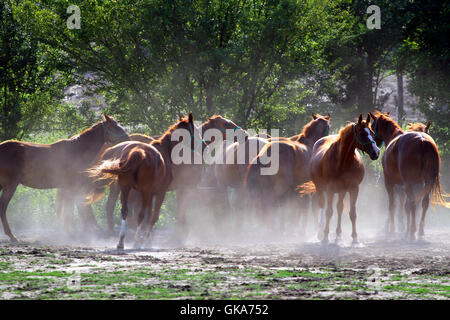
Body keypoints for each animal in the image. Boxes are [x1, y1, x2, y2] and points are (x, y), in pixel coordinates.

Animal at [0, 114, 128, 241]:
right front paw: (70, 233)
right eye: (115, 126)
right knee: (3, 208)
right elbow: (69, 211)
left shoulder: (68, 188)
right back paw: (11, 235)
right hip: (10, 186)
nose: (127, 138)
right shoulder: (71, 187)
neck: (76, 150)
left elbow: (69, 210)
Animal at [298, 115, 380, 245]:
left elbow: (352, 213)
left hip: (341, 191)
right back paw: (320, 232)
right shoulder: (330, 189)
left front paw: (355, 238)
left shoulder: (354, 188)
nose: (376, 152)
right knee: (322, 206)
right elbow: (328, 212)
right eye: (362, 133)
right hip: (320, 189)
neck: (342, 161)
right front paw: (325, 237)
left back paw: (338, 236)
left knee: (339, 209)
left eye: (372, 132)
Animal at [370, 111, 446, 239]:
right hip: (427, 182)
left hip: (409, 184)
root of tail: (422, 141)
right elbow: (405, 205)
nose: (374, 145)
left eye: (372, 126)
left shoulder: (390, 183)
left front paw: (392, 229)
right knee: (423, 203)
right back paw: (418, 230)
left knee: (412, 204)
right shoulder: (414, 185)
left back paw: (411, 231)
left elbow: (393, 205)